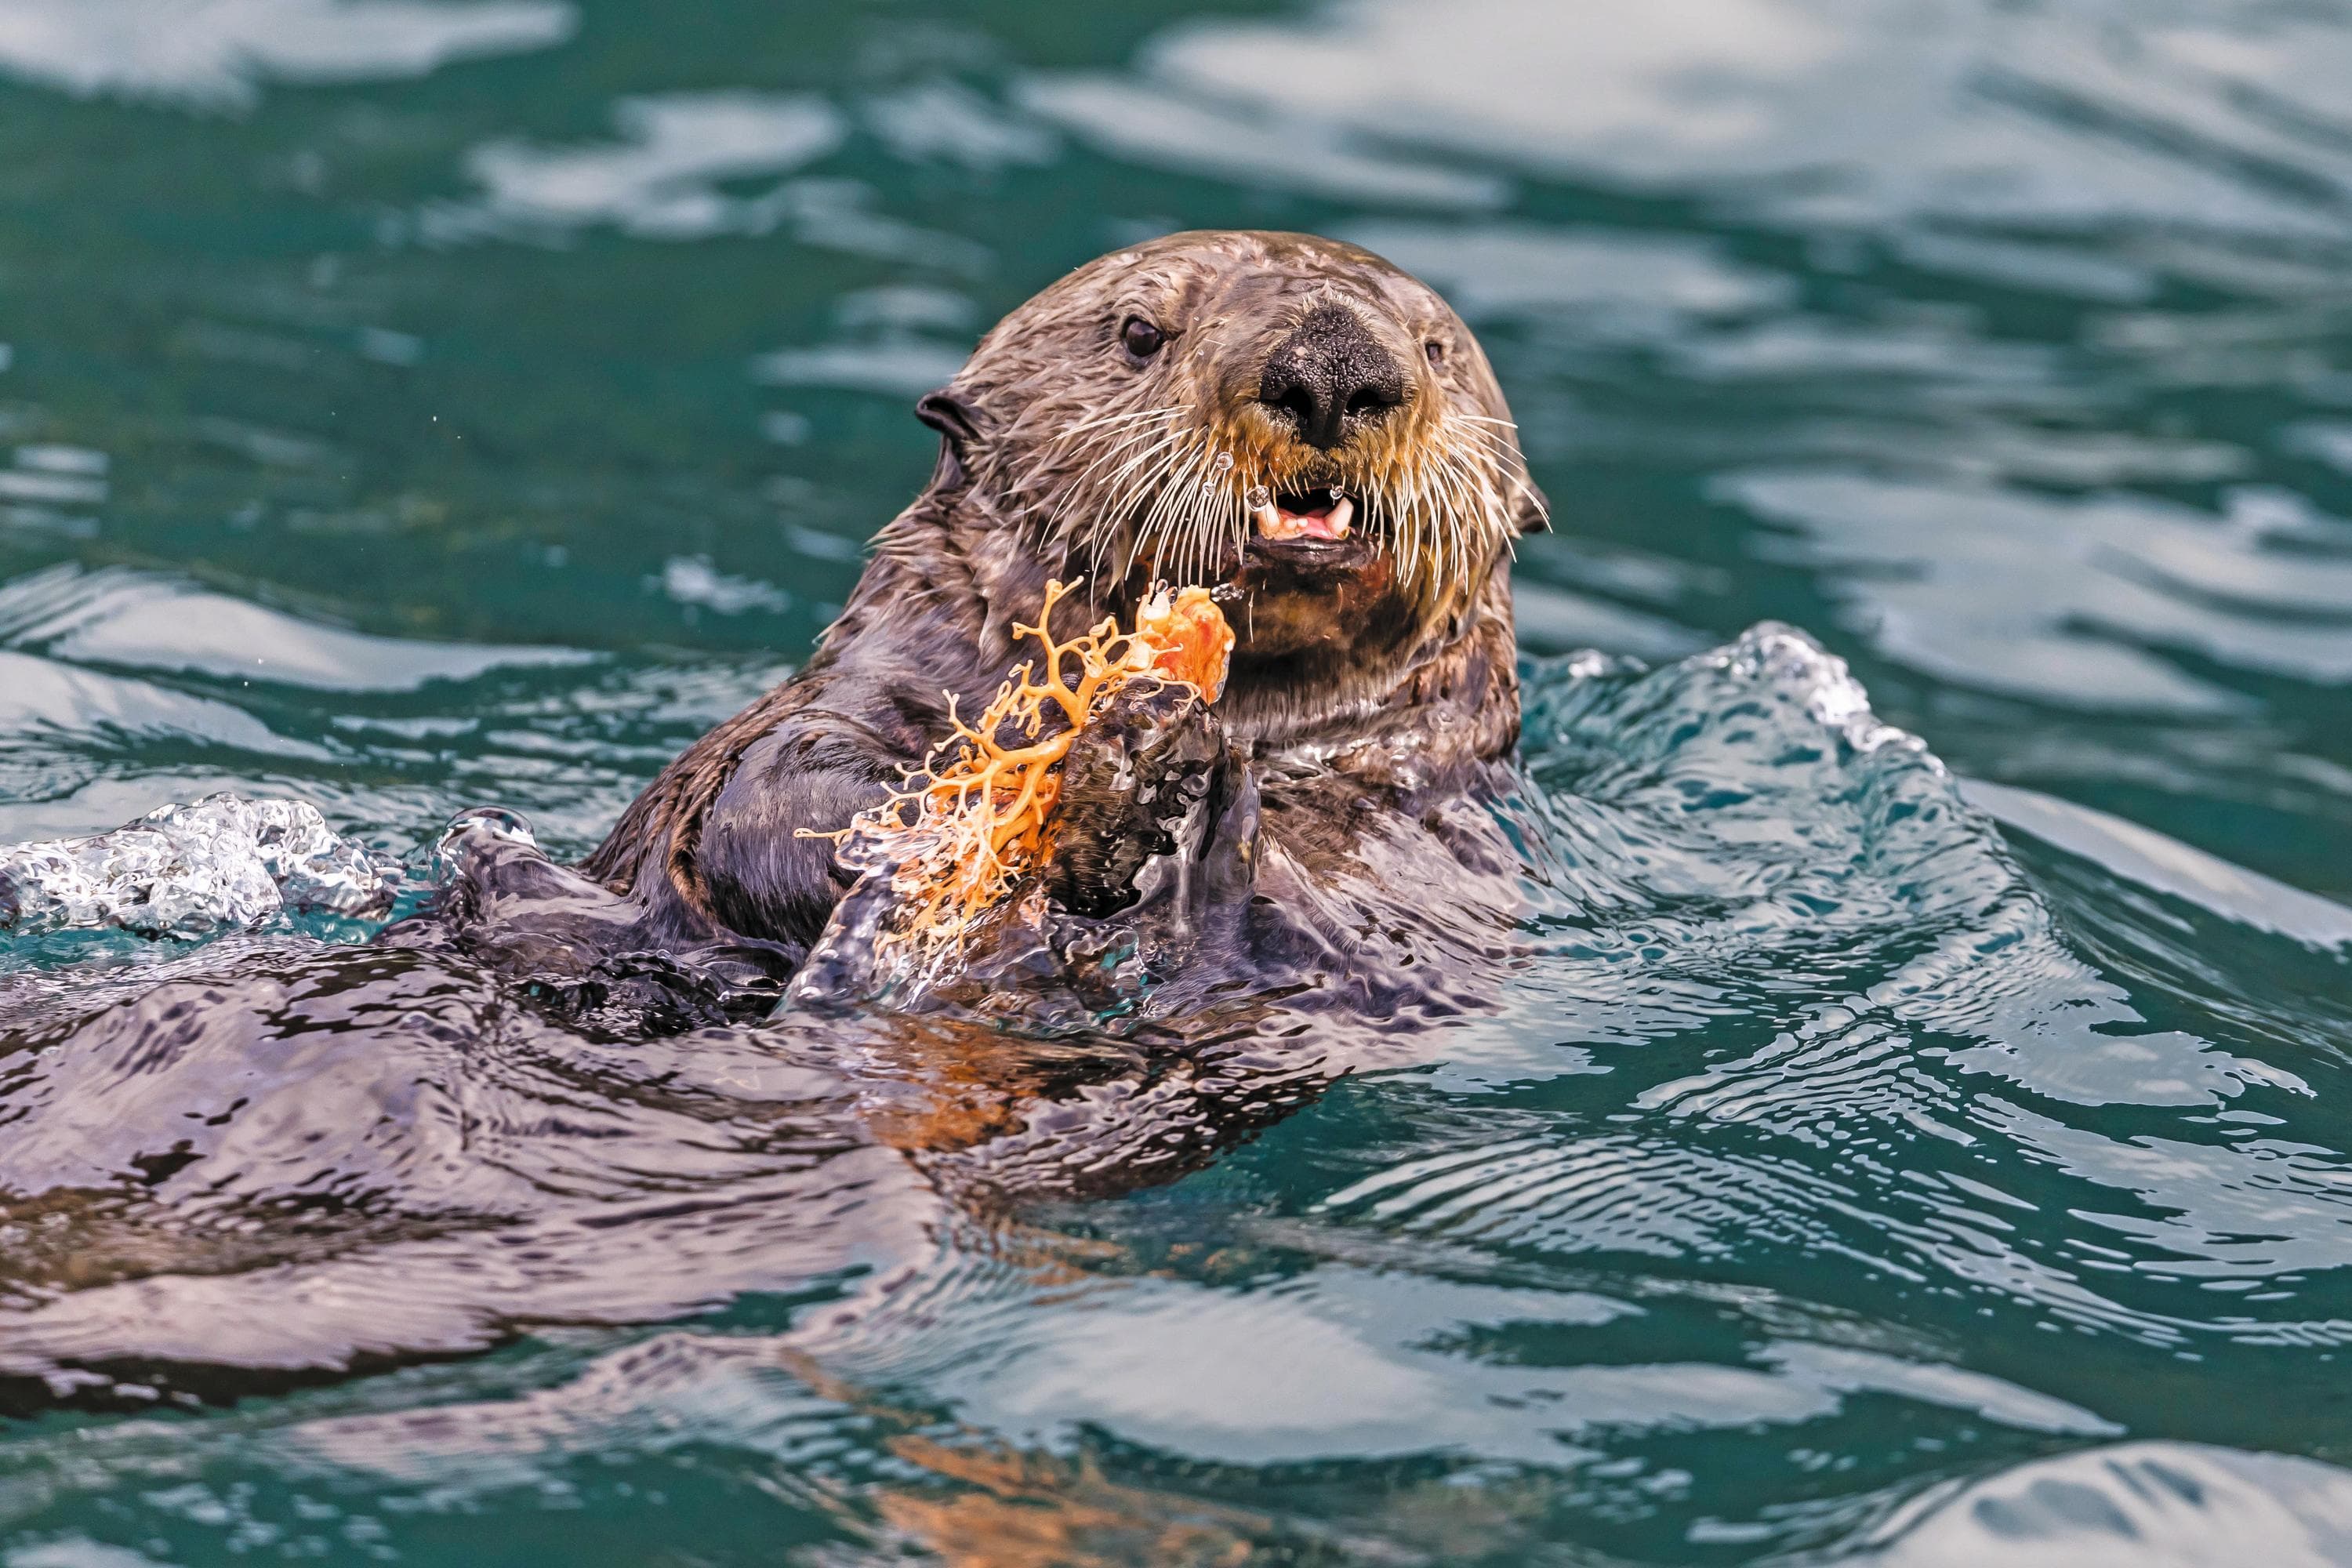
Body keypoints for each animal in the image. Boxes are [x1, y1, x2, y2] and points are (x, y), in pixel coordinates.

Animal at [557, 230, 1543, 1006]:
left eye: (1437, 348)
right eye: (1140, 334)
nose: (1335, 367)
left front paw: (1149, 778)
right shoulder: (848, 704)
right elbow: (777, 802)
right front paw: (1114, 784)